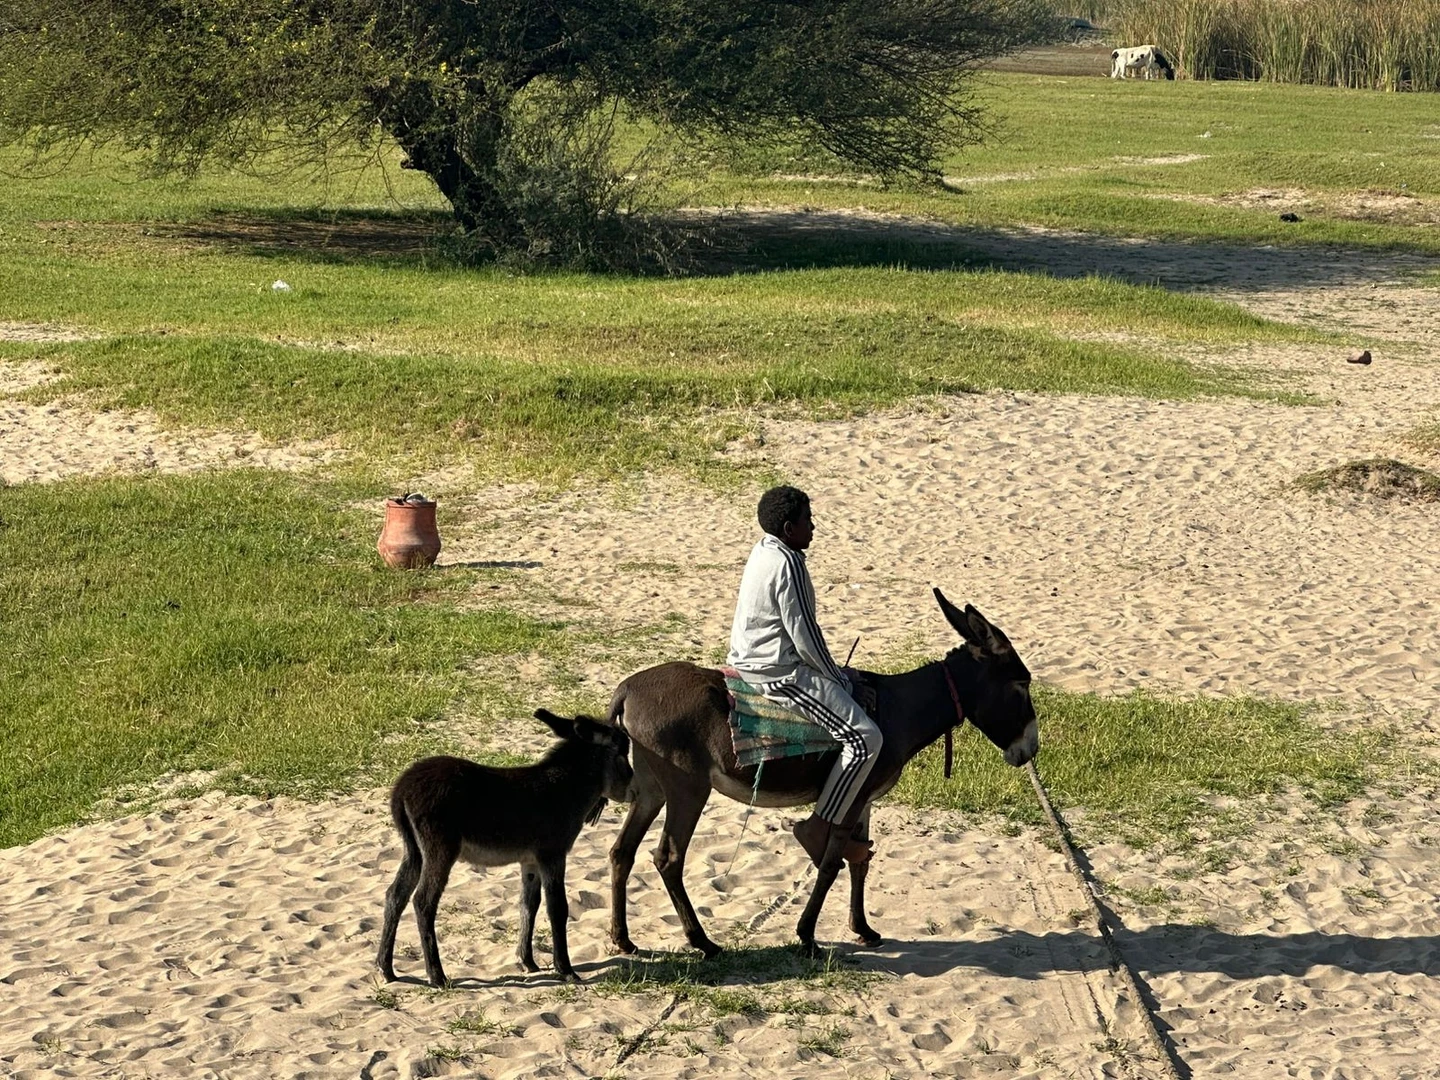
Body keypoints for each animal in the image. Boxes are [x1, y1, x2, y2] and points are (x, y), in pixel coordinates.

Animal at [375, 709, 633, 986]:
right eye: (622, 751)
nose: (633, 786)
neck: (564, 789)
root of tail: (401, 789)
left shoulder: (530, 861)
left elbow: (529, 904)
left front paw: (527, 962)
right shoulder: (552, 855)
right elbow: (557, 907)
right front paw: (565, 969)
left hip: (414, 850)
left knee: (395, 895)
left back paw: (385, 968)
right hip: (440, 849)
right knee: (423, 901)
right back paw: (436, 975)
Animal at [605, 588, 1038, 958]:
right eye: (1021, 683)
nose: (1031, 749)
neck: (898, 708)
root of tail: (627, 689)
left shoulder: (863, 797)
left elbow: (861, 860)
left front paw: (862, 929)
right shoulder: (852, 791)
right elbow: (831, 863)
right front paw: (807, 935)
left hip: (652, 788)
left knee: (622, 851)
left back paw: (623, 939)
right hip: (688, 787)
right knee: (669, 858)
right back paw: (702, 941)